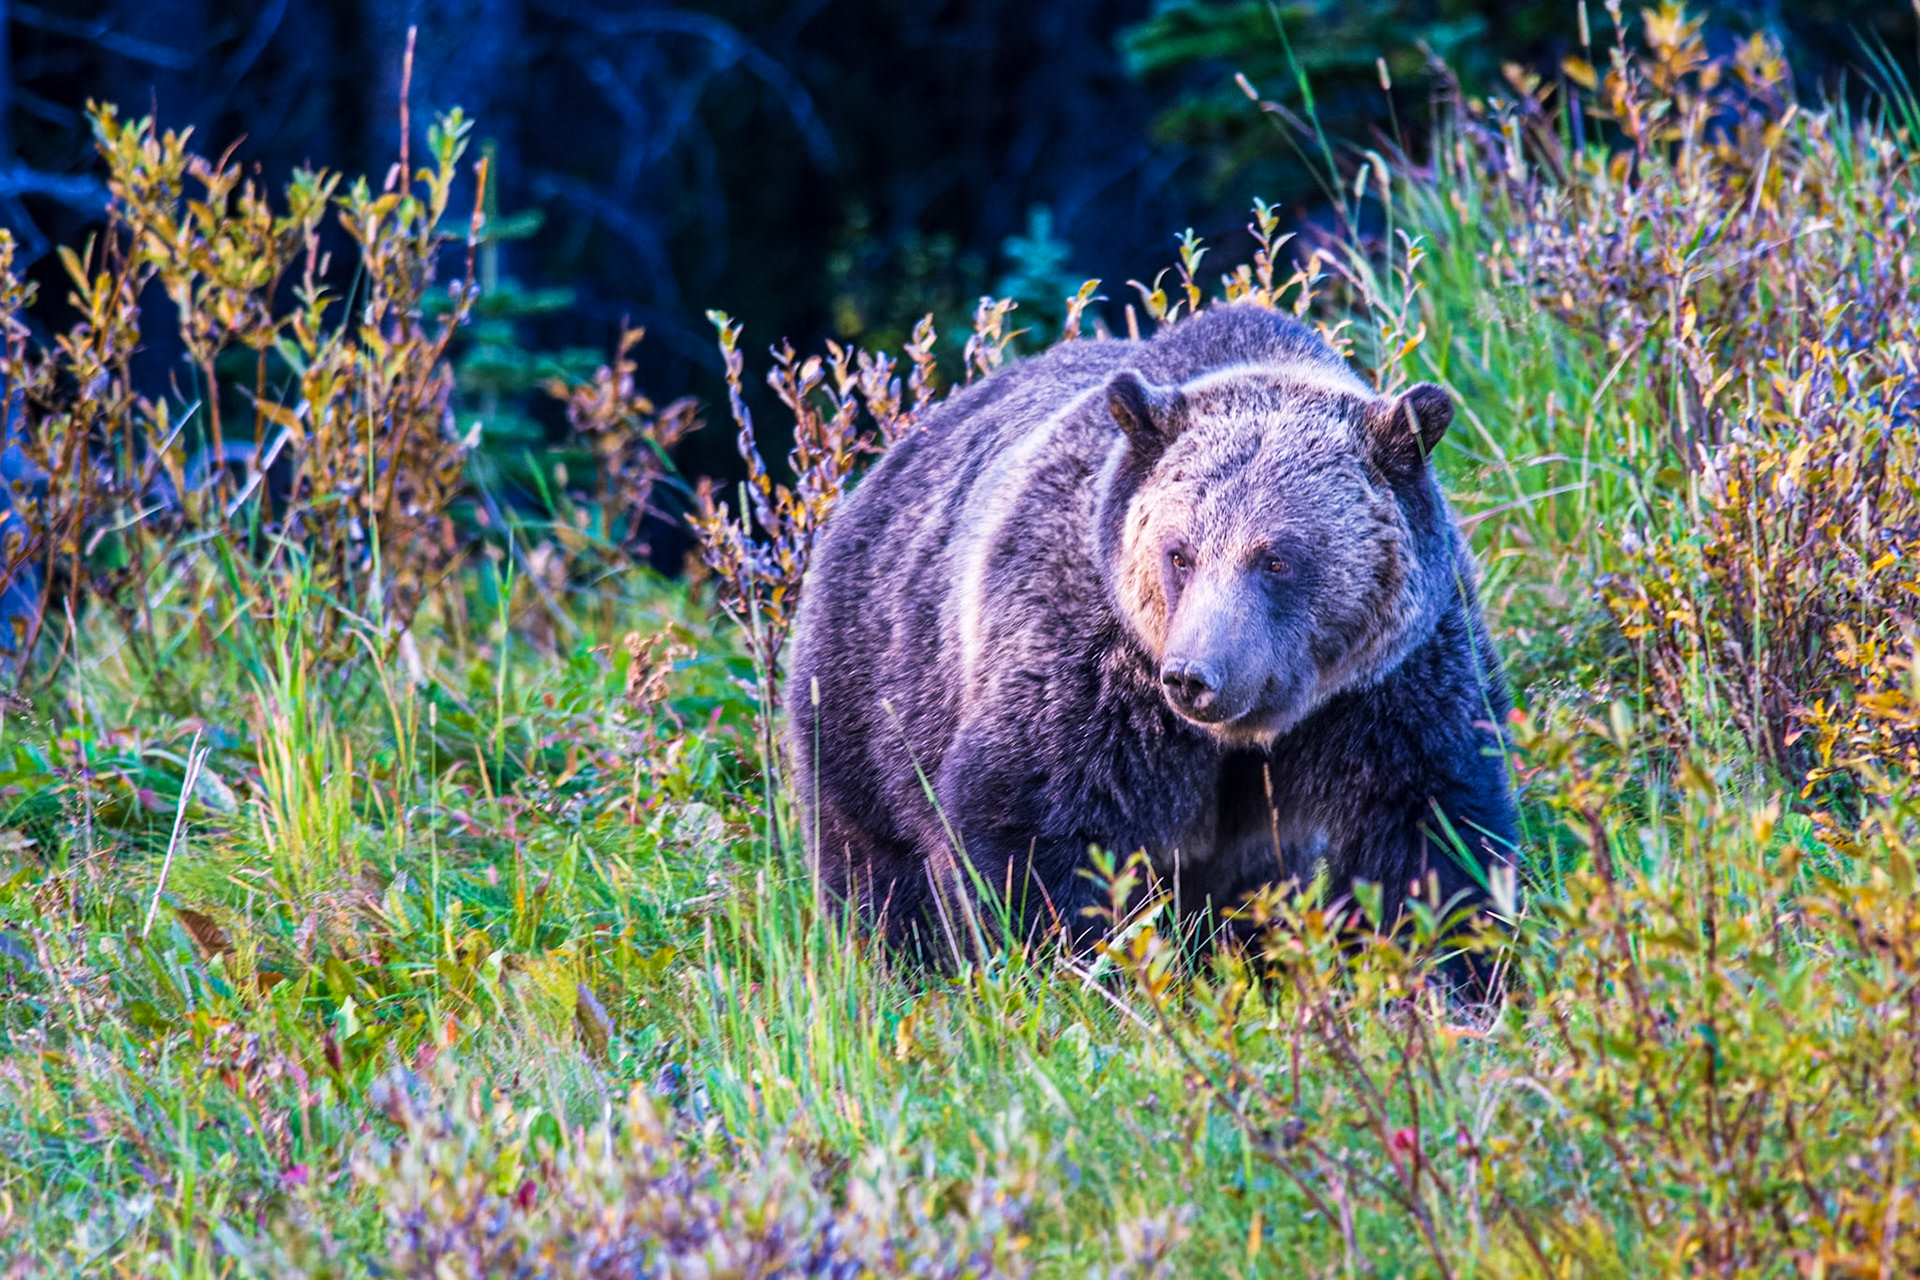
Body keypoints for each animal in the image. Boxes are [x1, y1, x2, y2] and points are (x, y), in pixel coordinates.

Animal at [786, 302, 1518, 968]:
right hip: (873, 691)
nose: (1194, 676)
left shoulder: (1390, 682)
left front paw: (1449, 967)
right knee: (874, 866)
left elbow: (1426, 832)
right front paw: (1064, 962)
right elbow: (1034, 827)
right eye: (1179, 553)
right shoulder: (1093, 669)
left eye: (1276, 558)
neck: (1248, 735)